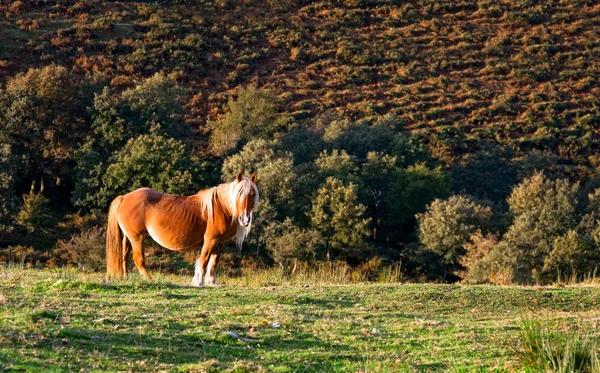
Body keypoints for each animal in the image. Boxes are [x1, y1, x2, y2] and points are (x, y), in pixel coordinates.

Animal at [106, 171, 260, 284]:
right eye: (238, 194)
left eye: (252, 194)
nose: (245, 219)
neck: (221, 207)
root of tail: (124, 197)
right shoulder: (210, 239)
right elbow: (204, 260)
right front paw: (198, 282)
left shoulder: (219, 242)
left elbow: (213, 262)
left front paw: (212, 282)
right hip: (137, 237)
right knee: (138, 259)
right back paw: (150, 280)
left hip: (129, 237)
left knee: (125, 256)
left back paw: (126, 278)